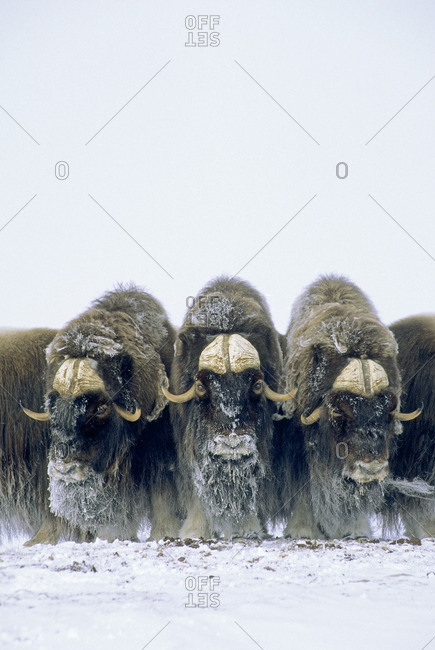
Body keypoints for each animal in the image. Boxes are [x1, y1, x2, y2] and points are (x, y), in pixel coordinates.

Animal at [23, 285, 180, 543]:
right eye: (52, 404)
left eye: (101, 408)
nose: (65, 469)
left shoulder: (158, 458)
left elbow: (162, 495)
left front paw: (161, 534)